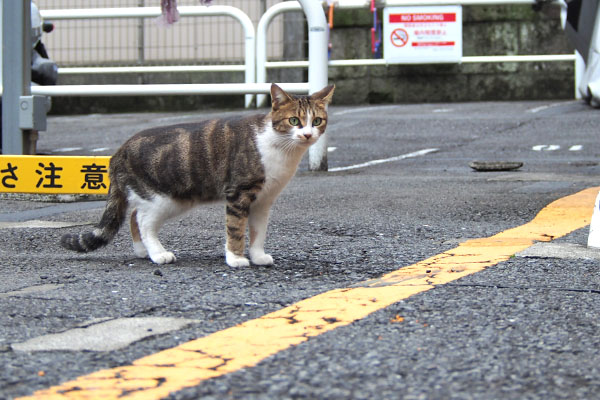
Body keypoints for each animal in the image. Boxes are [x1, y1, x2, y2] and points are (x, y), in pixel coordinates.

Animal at [60, 83, 336, 268]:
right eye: (294, 121)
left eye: (317, 121)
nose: (307, 135)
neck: (280, 149)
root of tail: (119, 151)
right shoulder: (238, 193)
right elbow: (236, 229)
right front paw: (236, 258)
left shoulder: (263, 200)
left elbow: (259, 232)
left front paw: (258, 256)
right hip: (162, 198)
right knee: (143, 220)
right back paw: (158, 254)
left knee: (134, 216)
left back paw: (143, 251)